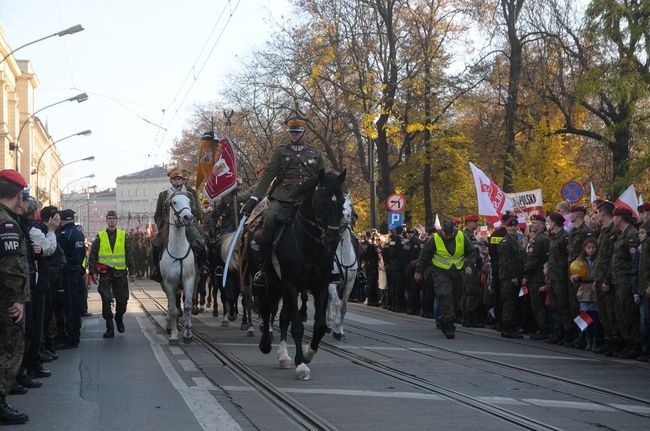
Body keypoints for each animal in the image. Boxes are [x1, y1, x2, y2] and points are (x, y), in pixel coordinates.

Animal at [256, 170, 344, 382]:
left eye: (342, 200)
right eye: (322, 200)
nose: (334, 237)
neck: (309, 244)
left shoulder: (320, 285)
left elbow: (320, 325)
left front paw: (307, 354)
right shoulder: (290, 283)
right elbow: (296, 326)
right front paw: (301, 365)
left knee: (282, 316)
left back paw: (283, 356)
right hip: (272, 283)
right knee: (268, 310)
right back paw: (267, 344)